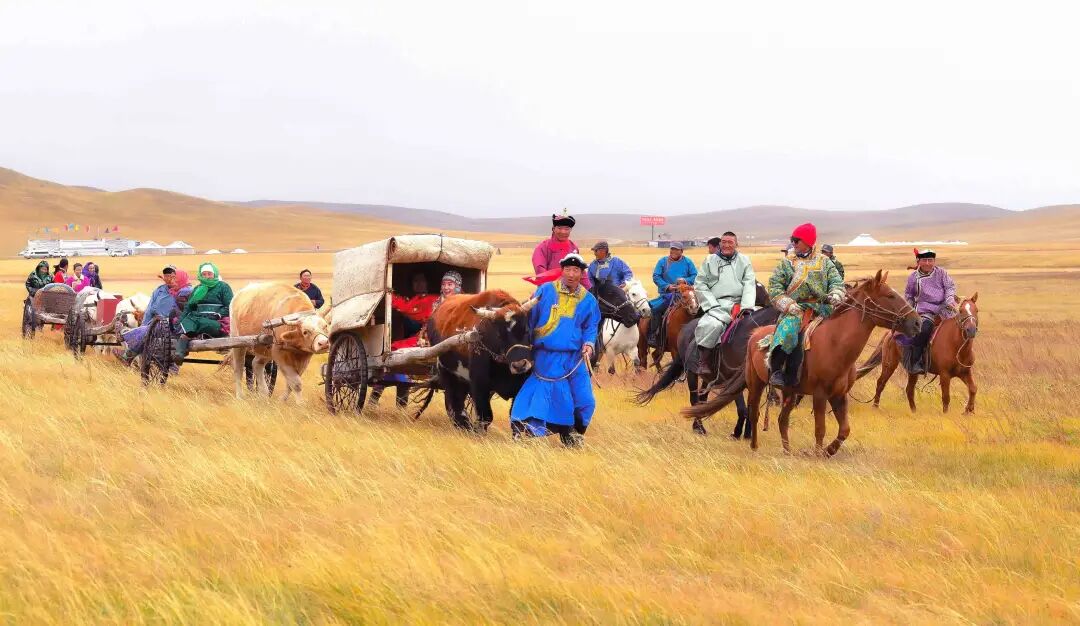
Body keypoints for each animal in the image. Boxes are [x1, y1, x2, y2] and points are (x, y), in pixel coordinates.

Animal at [425, 289, 536, 431]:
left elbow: (516, 416)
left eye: (526, 330)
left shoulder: (520, 385)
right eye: (499, 335)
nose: (520, 365)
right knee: (454, 403)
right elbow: (485, 417)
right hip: (447, 372)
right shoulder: (479, 385)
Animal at [635, 282, 773, 438]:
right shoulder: (730, 380)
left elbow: (751, 407)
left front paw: (747, 434)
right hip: (684, 369)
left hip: (706, 376)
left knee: (701, 399)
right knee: (693, 399)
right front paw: (737, 433)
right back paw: (699, 428)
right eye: (757, 288)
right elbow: (741, 406)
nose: (770, 301)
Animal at [684, 271, 920, 456]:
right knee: (754, 412)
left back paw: (787, 451)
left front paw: (828, 451)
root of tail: (754, 335)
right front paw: (818, 454)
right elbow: (820, 428)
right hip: (756, 384)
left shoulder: (839, 394)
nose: (917, 322)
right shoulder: (820, 394)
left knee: (782, 419)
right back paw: (754, 445)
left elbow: (844, 430)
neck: (835, 343)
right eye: (890, 296)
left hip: (790, 391)